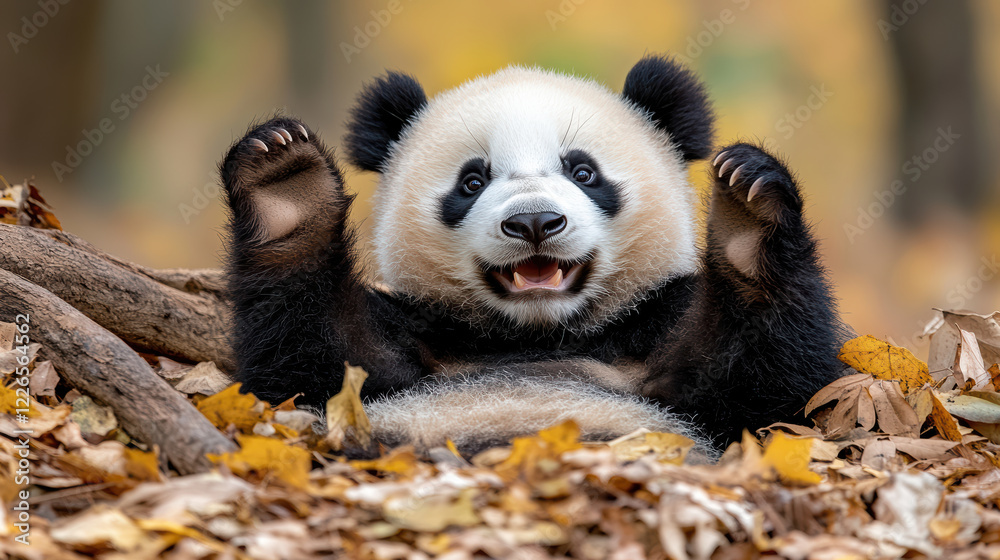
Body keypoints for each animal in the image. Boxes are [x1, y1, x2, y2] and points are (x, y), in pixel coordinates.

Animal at [220, 55, 844, 459]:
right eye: (472, 181)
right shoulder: (415, 342)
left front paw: (749, 209)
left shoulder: (654, 332)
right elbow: (307, 365)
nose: (535, 222)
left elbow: (771, 388)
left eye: (583, 171)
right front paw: (285, 182)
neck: (536, 334)